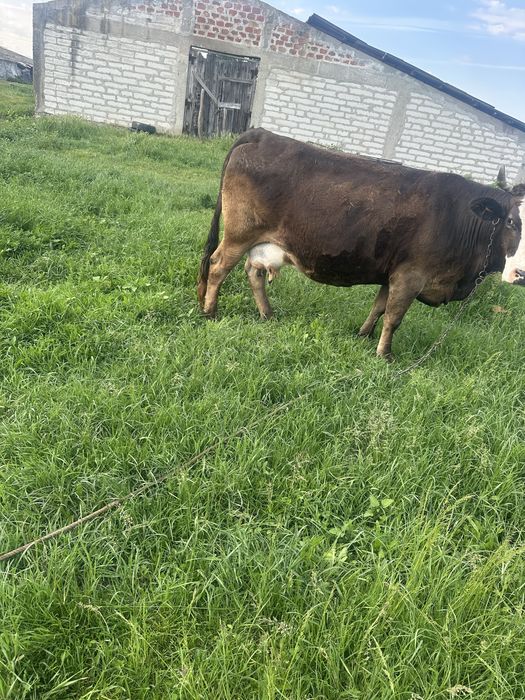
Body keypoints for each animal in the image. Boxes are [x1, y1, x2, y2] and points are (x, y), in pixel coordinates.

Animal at [198, 128, 524, 360]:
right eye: (510, 221)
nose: (520, 274)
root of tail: (262, 134)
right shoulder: (411, 274)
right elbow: (394, 316)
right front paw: (385, 355)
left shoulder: (393, 273)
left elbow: (379, 307)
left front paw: (364, 336)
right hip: (239, 234)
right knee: (217, 267)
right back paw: (210, 312)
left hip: (262, 242)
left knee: (253, 273)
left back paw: (267, 314)